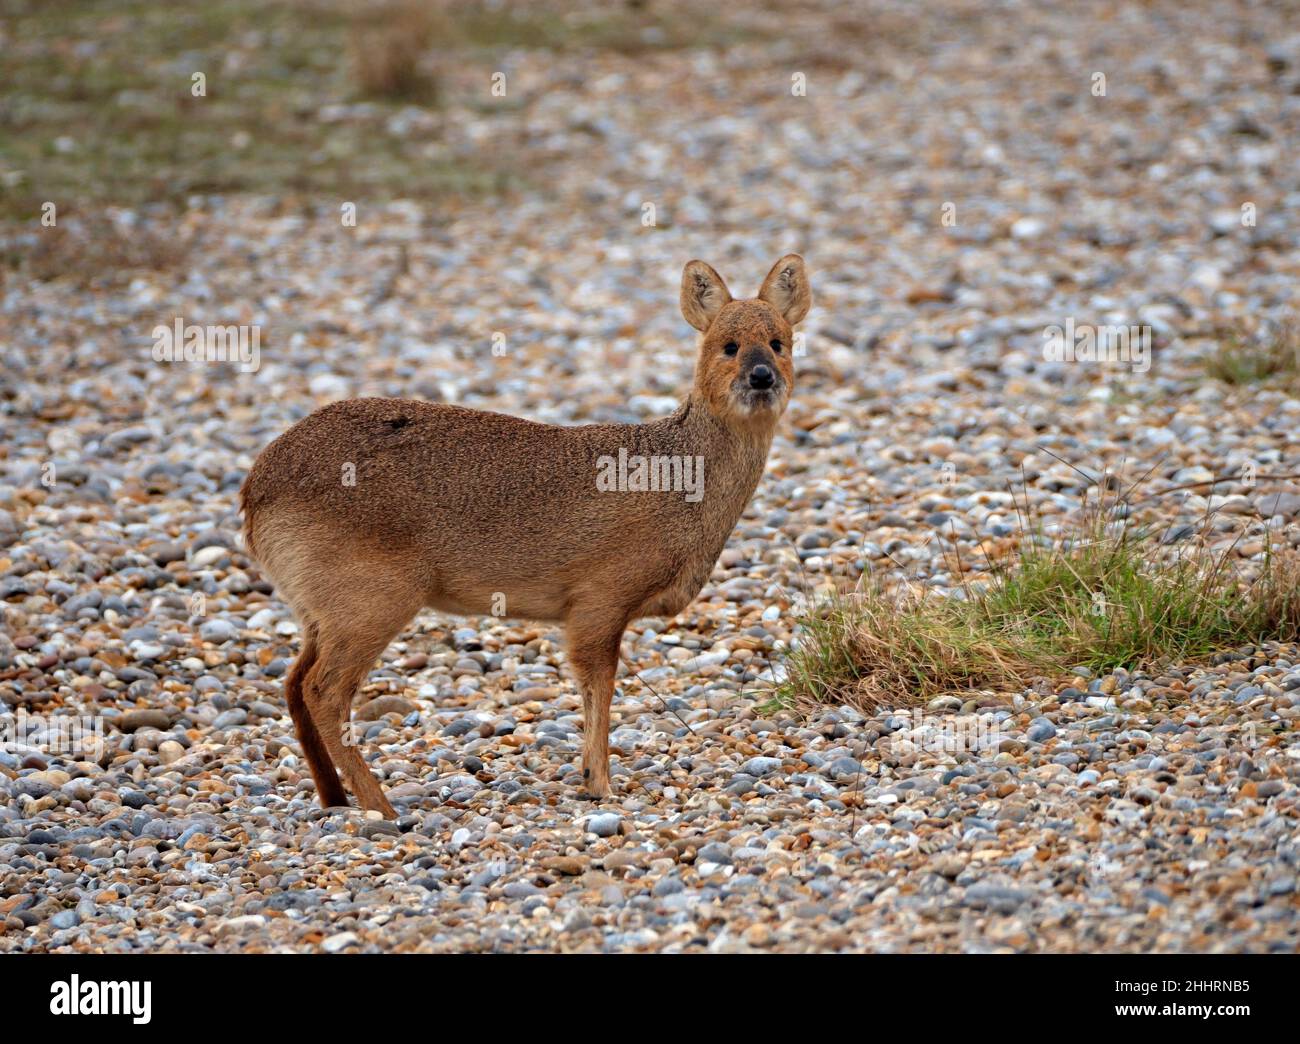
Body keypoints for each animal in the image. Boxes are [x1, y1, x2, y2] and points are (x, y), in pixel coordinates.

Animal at [240, 255, 811, 818]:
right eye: (728, 345)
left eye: (779, 341)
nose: (761, 375)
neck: (679, 484)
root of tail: (253, 493)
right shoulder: (599, 600)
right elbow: (598, 686)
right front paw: (600, 784)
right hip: (371, 598)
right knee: (323, 690)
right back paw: (383, 809)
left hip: (321, 606)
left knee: (293, 684)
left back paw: (334, 798)